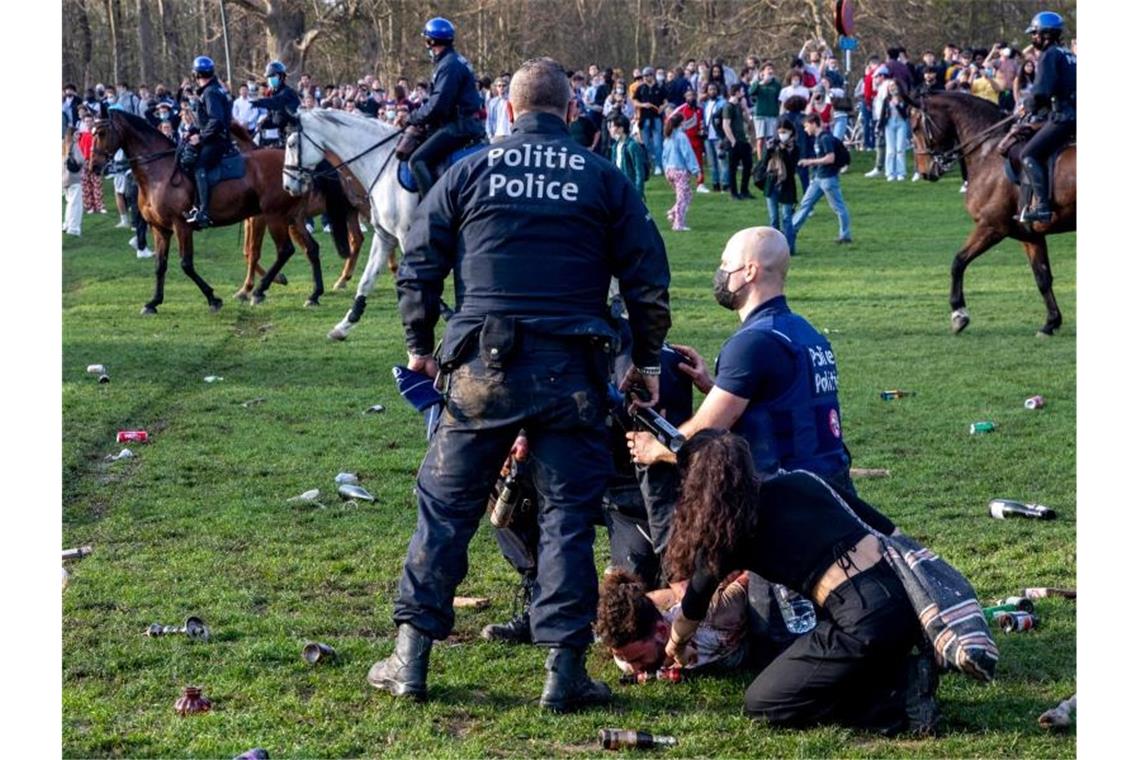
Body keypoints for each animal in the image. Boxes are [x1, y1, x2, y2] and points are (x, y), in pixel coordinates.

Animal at [85, 108, 326, 314]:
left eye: (102, 132)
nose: (93, 167)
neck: (158, 173)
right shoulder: (160, 229)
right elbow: (160, 266)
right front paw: (153, 302)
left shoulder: (181, 226)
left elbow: (186, 265)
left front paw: (213, 298)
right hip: (292, 217)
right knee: (311, 248)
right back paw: (314, 295)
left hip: (274, 216)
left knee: (285, 250)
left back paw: (260, 291)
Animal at [907, 90, 1076, 334]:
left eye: (914, 128)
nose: (924, 172)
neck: (987, 152)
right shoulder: (1029, 235)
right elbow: (1042, 277)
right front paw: (1051, 322)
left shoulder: (991, 226)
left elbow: (958, 262)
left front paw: (959, 314)